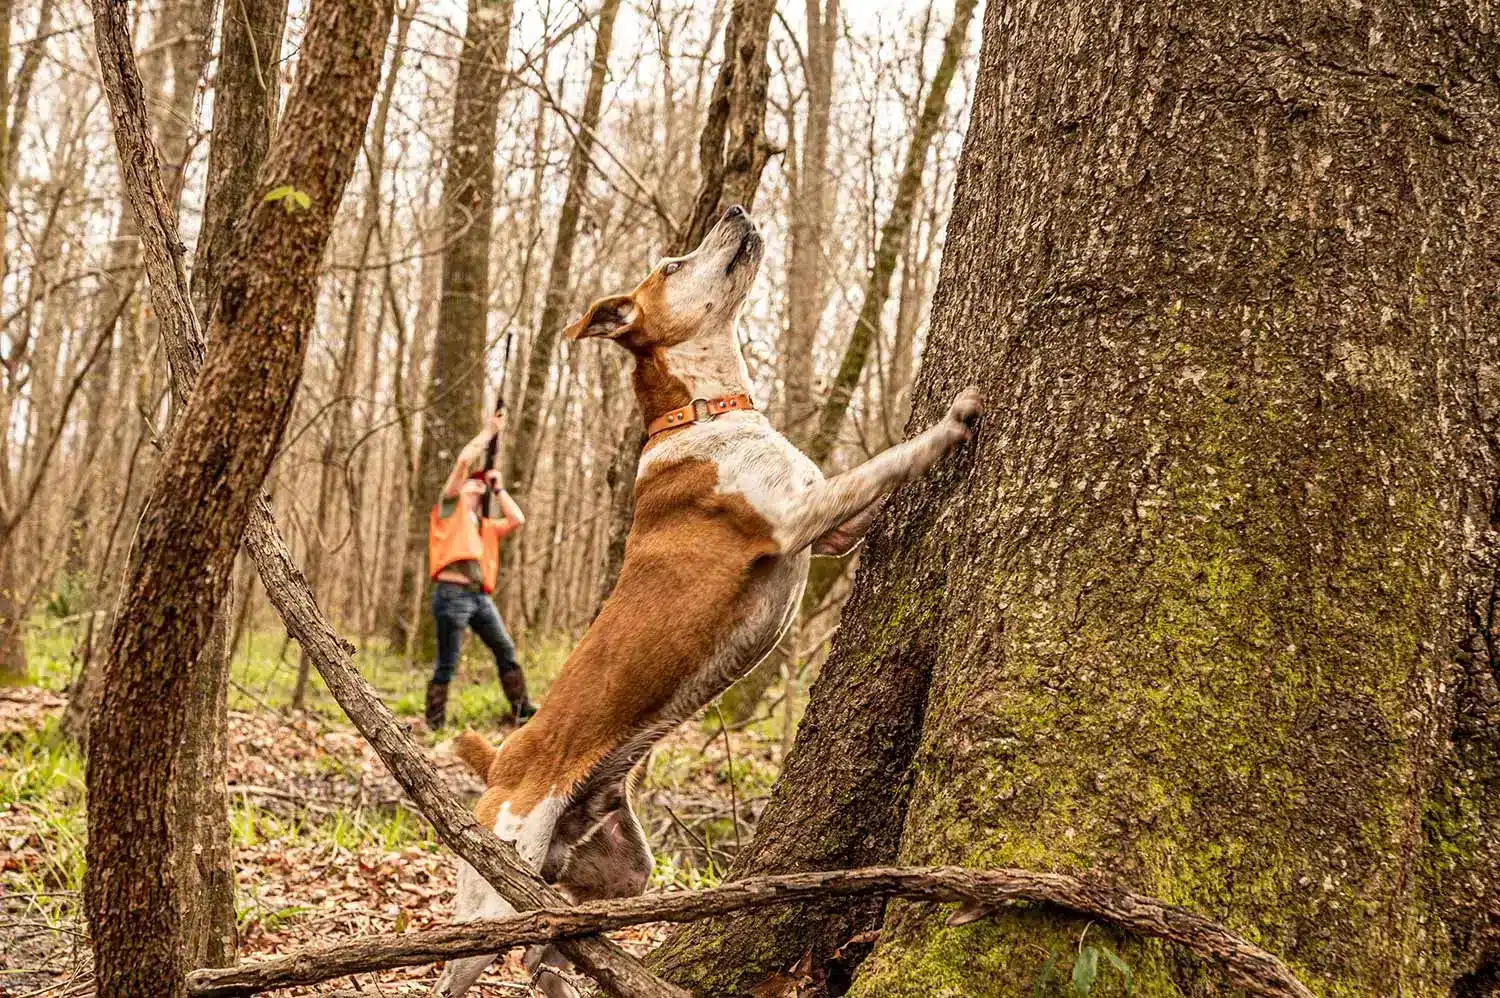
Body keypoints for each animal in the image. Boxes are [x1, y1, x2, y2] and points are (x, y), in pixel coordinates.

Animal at [435, 205, 984, 990]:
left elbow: (875, 484)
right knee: (472, 957)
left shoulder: (833, 529)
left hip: (619, 868)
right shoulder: (795, 517)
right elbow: (890, 460)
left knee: (552, 941)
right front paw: (952, 419)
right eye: (670, 265)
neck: (704, 412)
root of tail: (502, 764)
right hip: (491, 899)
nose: (735, 208)